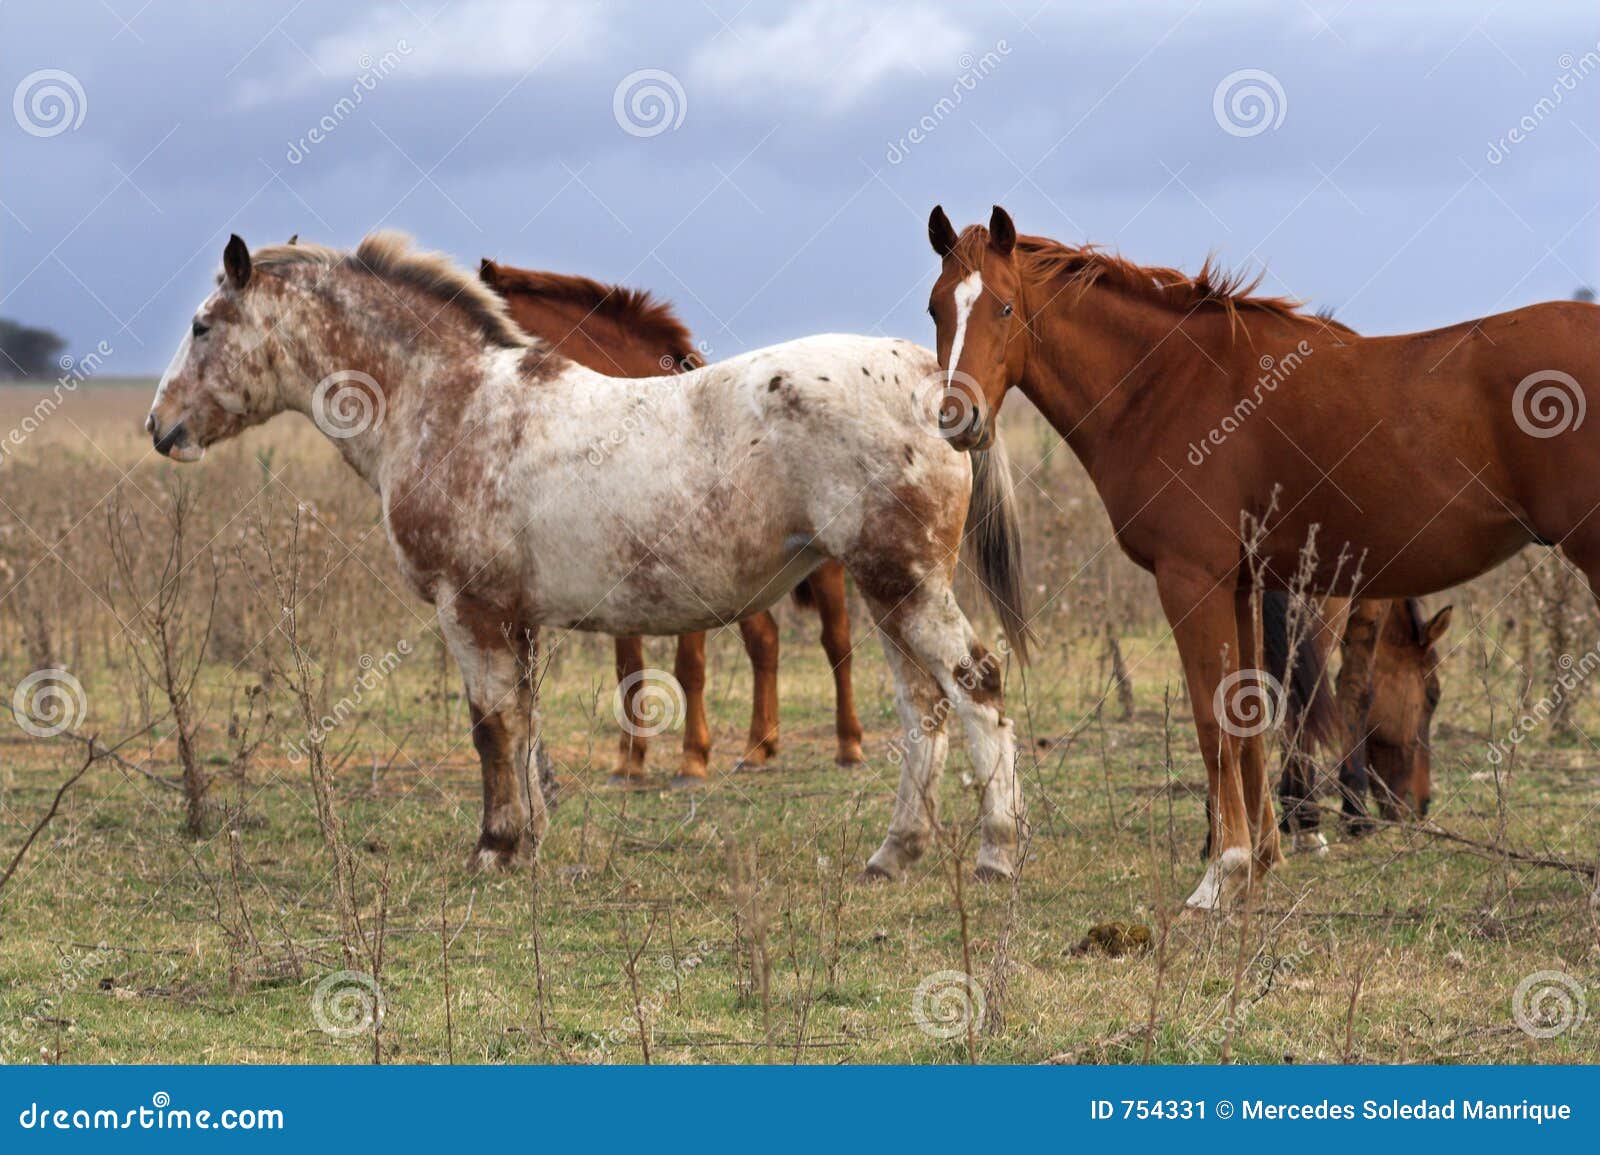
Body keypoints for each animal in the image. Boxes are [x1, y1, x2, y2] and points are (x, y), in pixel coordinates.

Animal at [477, 257, 863, 785]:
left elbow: (689, 666)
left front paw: (692, 759)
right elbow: (628, 668)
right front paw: (629, 762)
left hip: (825, 569)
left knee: (836, 642)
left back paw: (848, 746)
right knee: (765, 642)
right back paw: (758, 747)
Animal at [925, 204, 1599, 908]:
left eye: (1004, 308)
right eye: (936, 307)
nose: (958, 417)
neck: (1170, 385)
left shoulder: (1195, 582)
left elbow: (1217, 719)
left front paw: (1221, 872)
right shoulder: (1244, 585)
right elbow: (1251, 712)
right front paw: (1262, 857)